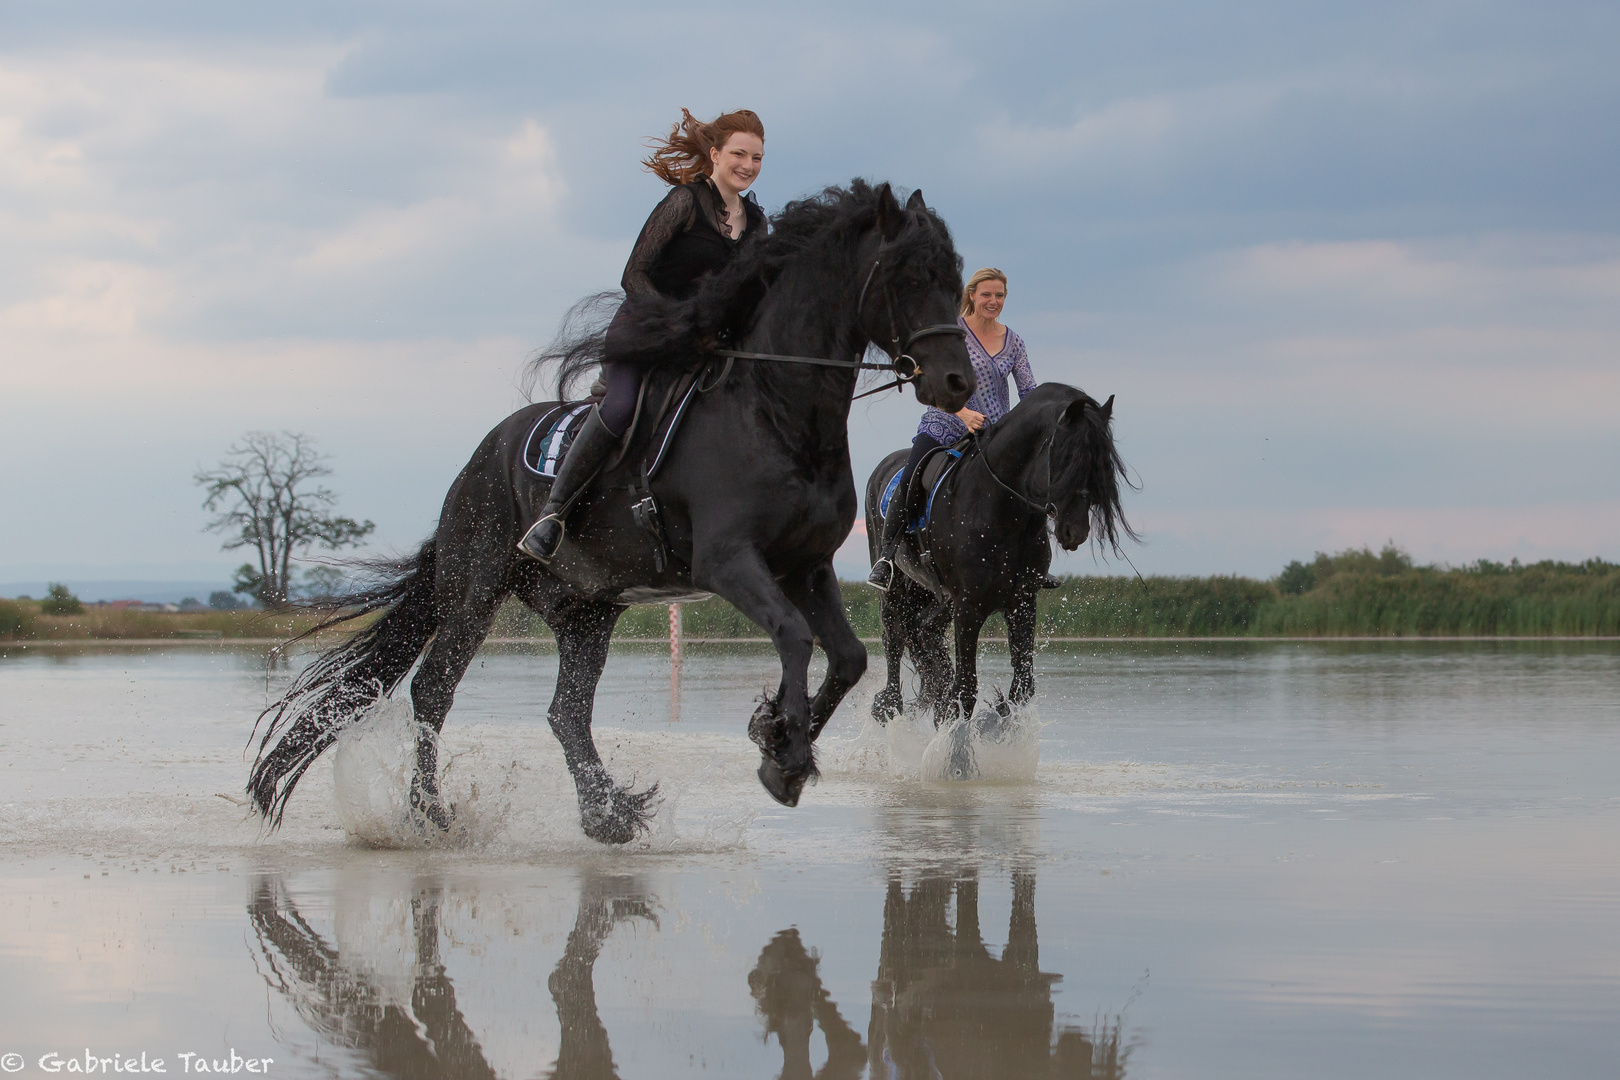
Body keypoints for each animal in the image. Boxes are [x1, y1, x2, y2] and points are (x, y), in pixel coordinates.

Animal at [241, 181, 972, 841]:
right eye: (909, 276)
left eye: (956, 276)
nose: (957, 382)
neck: (776, 411)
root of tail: (476, 462)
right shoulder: (729, 561)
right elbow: (794, 637)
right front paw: (782, 749)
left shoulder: (808, 566)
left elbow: (847, 658)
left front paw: (778, 744)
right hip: (478, 585)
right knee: (434, 689)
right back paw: (429, 815)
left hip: (586, 610)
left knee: (565, 712)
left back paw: (607, 812)